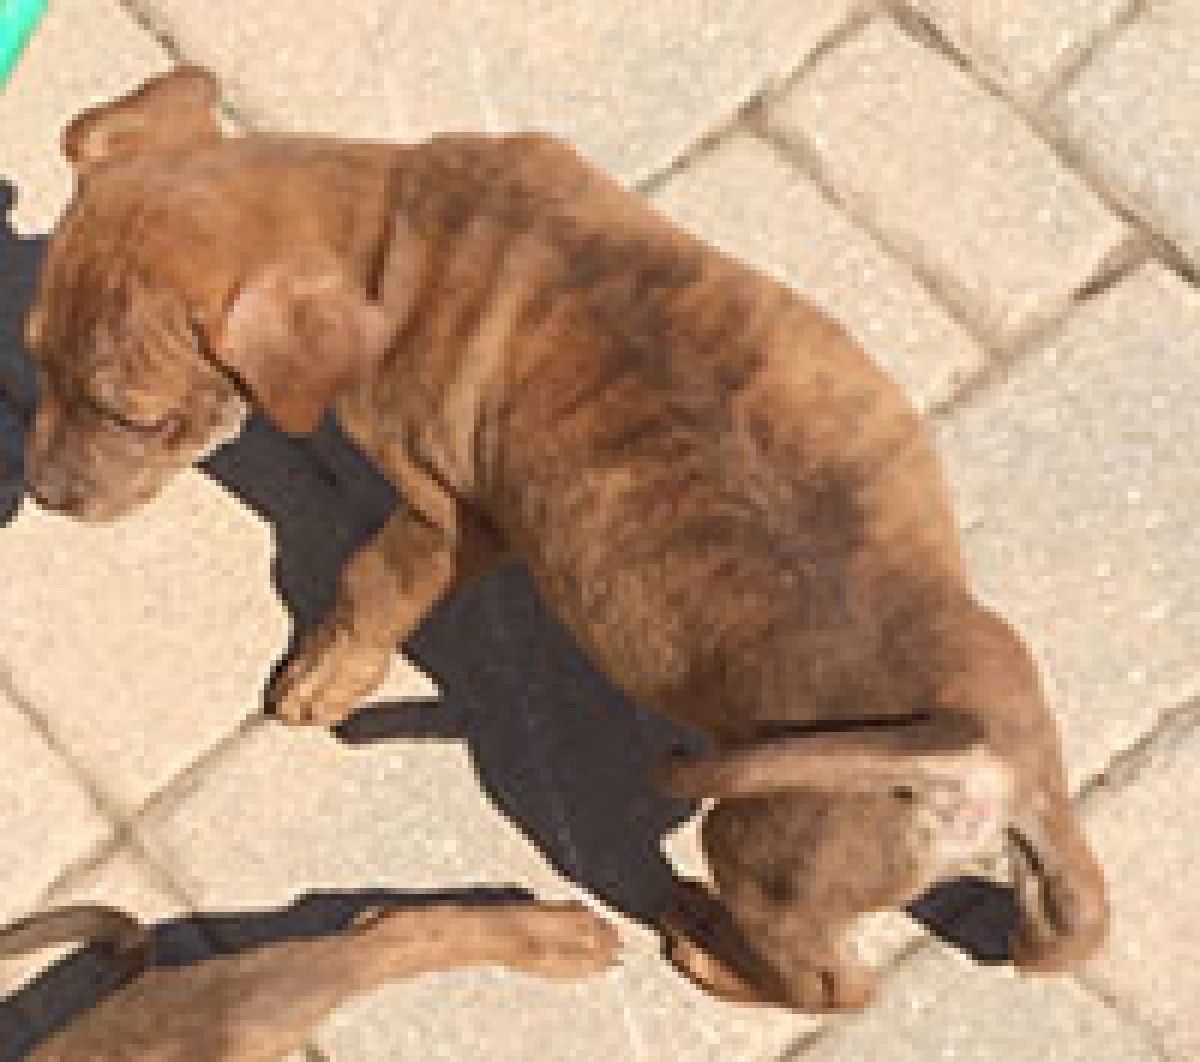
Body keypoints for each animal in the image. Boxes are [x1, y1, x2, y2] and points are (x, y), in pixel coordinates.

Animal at [25, 66, 1108, 1011]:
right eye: (34, 355)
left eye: (131, 415)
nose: (38, 492)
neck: (387, 223)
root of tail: (989, 762)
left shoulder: (448, 516)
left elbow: (368, 586)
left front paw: (320, 680)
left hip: (766, 848)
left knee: (833, 986)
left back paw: (705, 951)